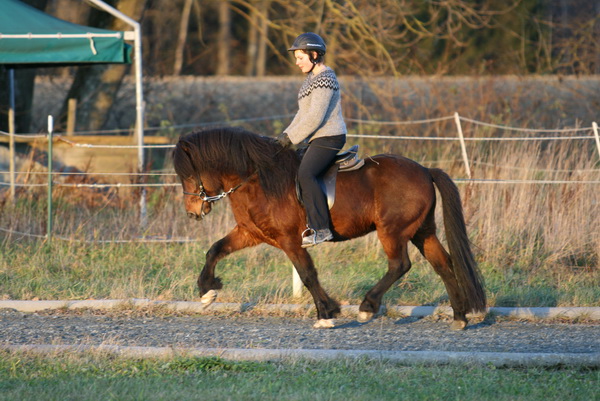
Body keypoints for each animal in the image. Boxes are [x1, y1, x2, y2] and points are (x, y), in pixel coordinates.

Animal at [175, 126, 488, 330]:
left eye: (190, 173)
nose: (192, 212)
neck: (256, 179)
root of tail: (424, 170)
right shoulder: (251, 233)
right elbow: (215, 250)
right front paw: (207, 292)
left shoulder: (290, 241)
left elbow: (307, 274)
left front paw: (326, 313)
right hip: (422, 231)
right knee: (442, 263)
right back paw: (459, 317)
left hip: (393, 231)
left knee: (400, 264)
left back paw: (367, 308)